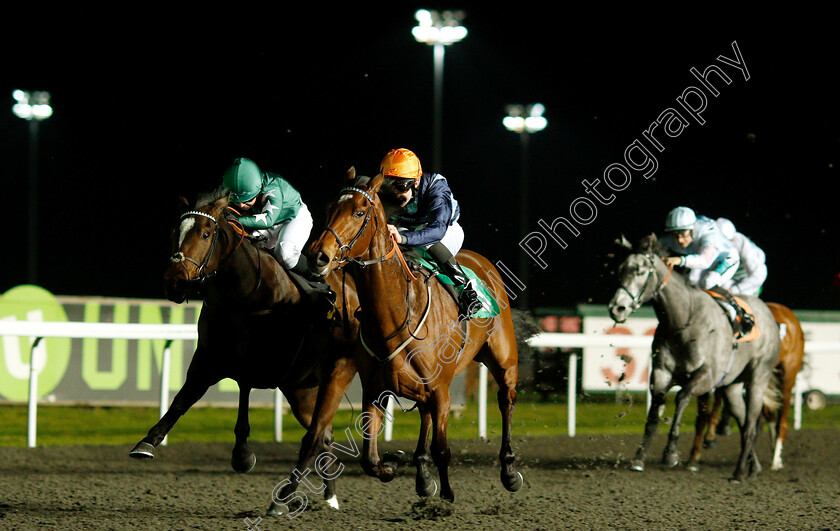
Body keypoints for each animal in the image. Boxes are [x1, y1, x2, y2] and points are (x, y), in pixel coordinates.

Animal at [130, 188, 360, 512]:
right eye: (175, 232)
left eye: (205, 233)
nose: (174, 282)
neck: (243, 292)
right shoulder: (208, 359)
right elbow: (182, 399)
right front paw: (147, 442)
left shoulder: (264, 362)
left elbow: (243, 390)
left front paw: (242, 455)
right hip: (301, 390)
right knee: (324, 433)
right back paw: (330, 497)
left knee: (320, 431)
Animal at [270, 167, 532, 512]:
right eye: (328, 208)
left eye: (360, 211)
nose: (317, 256)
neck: (397, 311)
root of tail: (484, 264)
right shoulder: (375, 389)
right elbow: (369, 459)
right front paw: (396, 464)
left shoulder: (441, 389)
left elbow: (442, 448)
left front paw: (447, 496)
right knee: (424, 415)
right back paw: (422, 477)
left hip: (503, 361)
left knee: (506, 400)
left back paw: (509, 470)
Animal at [612, 234, 780, 482]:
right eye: (620, 270)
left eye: (641, 271)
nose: (617, 308)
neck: (683, 321)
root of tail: (770, 315)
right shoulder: (661, 374)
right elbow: (654, 411)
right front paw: (639, 458)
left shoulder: (706, 376)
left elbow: (682, 397)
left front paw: (670, 453)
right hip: (731, 386)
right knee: (742, 423)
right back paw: (754, 467)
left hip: (759, 377)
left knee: (751, 425)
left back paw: (739, 472)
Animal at [688, 302, 808, 472]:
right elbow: (702, 415)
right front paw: (693, 457)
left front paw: (711, 437)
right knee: (769, 415)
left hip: (787, 377)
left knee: (781, 423)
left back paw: (776, 460)